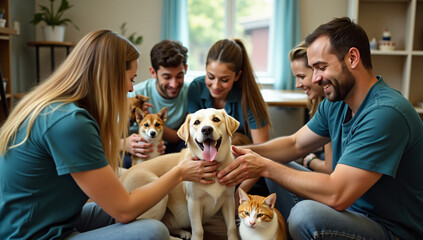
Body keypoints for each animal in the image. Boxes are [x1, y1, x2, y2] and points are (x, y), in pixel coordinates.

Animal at [121, 109, 240, 240]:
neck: (212, 165)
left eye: (216, 119)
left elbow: (232, 227)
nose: (207, 129)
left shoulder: (229, 200)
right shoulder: (194, 202)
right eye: (197, 122)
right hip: (158, 193)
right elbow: (198, 230)